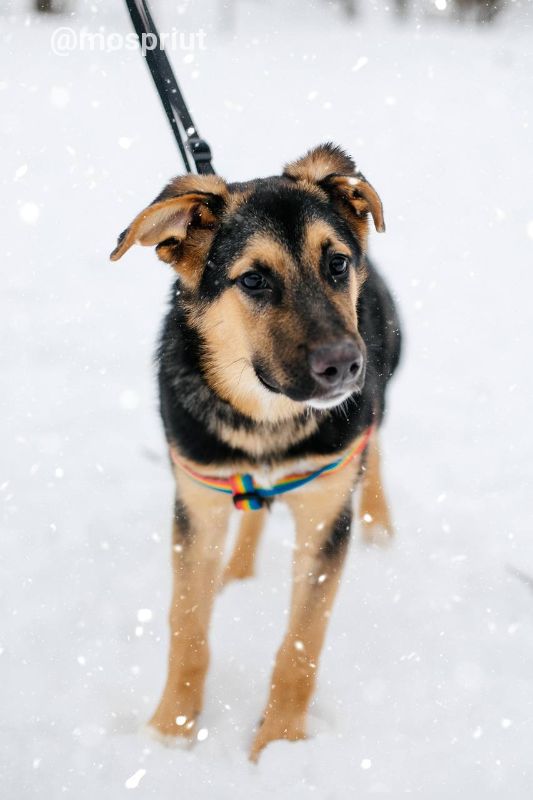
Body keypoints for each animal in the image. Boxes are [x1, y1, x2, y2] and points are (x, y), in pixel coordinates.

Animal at [111, 144, 400, 764]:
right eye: (254, 280)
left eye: (337, 263)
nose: (345, 365)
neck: (266, 417)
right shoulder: (196, 504)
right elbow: (186, 627)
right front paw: (170, 731)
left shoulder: (326, 515)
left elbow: (301, 645)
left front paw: (281, 744)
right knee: (252, 509)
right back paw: (237, 572)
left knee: (375, 449)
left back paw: (379, 523)